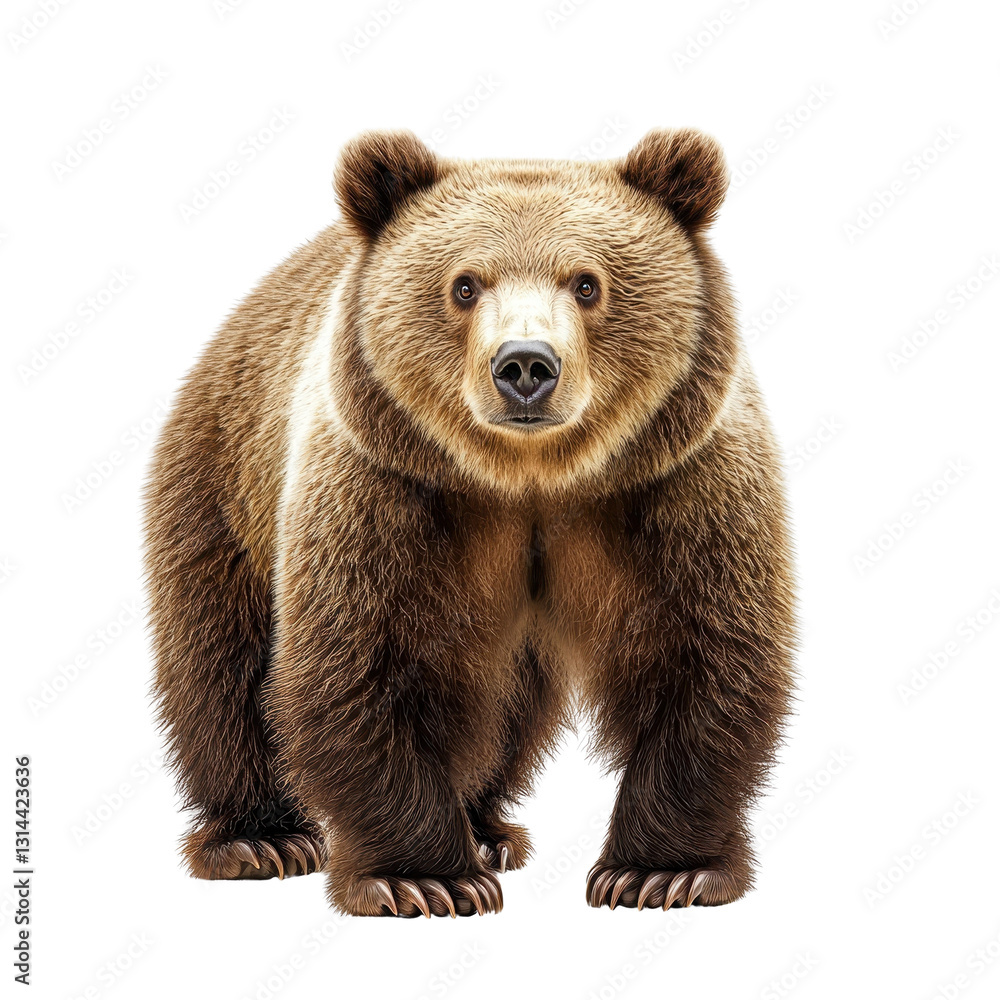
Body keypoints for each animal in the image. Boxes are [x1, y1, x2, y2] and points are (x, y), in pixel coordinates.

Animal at [143, 127, 795, 918]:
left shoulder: (674, 483)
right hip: (225, 482)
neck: (529, 476)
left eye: (587, 282)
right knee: (221, 665)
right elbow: (362, 660)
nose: (525, 367)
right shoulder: (389, 488)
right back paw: (259, 839)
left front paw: (660, 872)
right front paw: (422, 877)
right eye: (464, 284)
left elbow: (706, 652)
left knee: (509, 708)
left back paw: (487, 828)